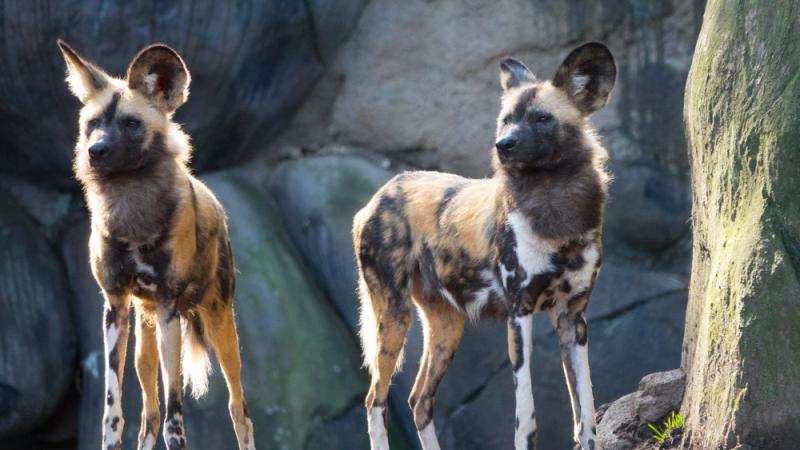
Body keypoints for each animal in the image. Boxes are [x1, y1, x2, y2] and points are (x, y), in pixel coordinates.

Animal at [58, 40, 255, 448]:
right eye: (92, 124)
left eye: (131, 124)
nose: (96, 150)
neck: (131, 212)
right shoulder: (115, 308)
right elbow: (113, 413)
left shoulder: (168, 310)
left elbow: (174, 418)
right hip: (143, 342)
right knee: (148, 416)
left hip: (218, 324)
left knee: (238, 410)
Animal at [354, 43, 616, 450]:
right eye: (505, 120)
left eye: (542, 118)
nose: (503, 145)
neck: (553, 206)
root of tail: (380, 195)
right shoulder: (519, 313)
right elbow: (527, 420)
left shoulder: (572, 317)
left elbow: (585, 414)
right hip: (393, 319)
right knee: (375, 401)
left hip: (447, 328)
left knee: (418, 400)